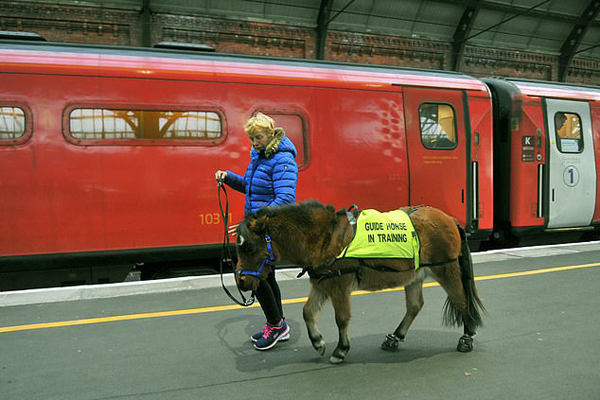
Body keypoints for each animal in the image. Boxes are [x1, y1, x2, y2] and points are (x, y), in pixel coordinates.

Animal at [232, 202, 486, 364]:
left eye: (249, 248)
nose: (242, 281)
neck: (326, 237)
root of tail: (449, 218)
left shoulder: (338, 285)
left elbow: (341, 318)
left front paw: (341, 349)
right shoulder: (322, 284)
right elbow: (307, 312)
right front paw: (317, 341)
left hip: (446, 270)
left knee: (462, 301)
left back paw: (467, 337)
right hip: (414, 275)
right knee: (414, 306)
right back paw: (396, 337)